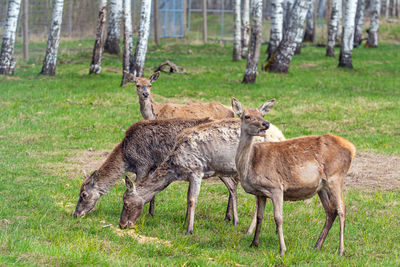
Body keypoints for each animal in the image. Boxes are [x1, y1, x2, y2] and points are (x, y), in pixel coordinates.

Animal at [118, 118, 284, 236]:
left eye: (125, 202)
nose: (122, 224)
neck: (175, 168)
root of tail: (281, 136)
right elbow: (188, 197)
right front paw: (185, 224)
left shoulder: (196, 170)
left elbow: (192, 199)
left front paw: (189, 230)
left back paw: (250, 231)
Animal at [231, 98, 356, 258]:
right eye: (246, 116)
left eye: (262, 115)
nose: (266, 124)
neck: (249, 166)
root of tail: (352, 148)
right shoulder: (260, 193)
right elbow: (259, 217)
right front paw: (254, 243)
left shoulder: (276, 186)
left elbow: (278, 218)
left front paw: (282, 250)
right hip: (322, 186)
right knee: (330, 210)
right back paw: (317, 245)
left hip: (336, 177)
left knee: (341, 209)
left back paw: (340, 250)